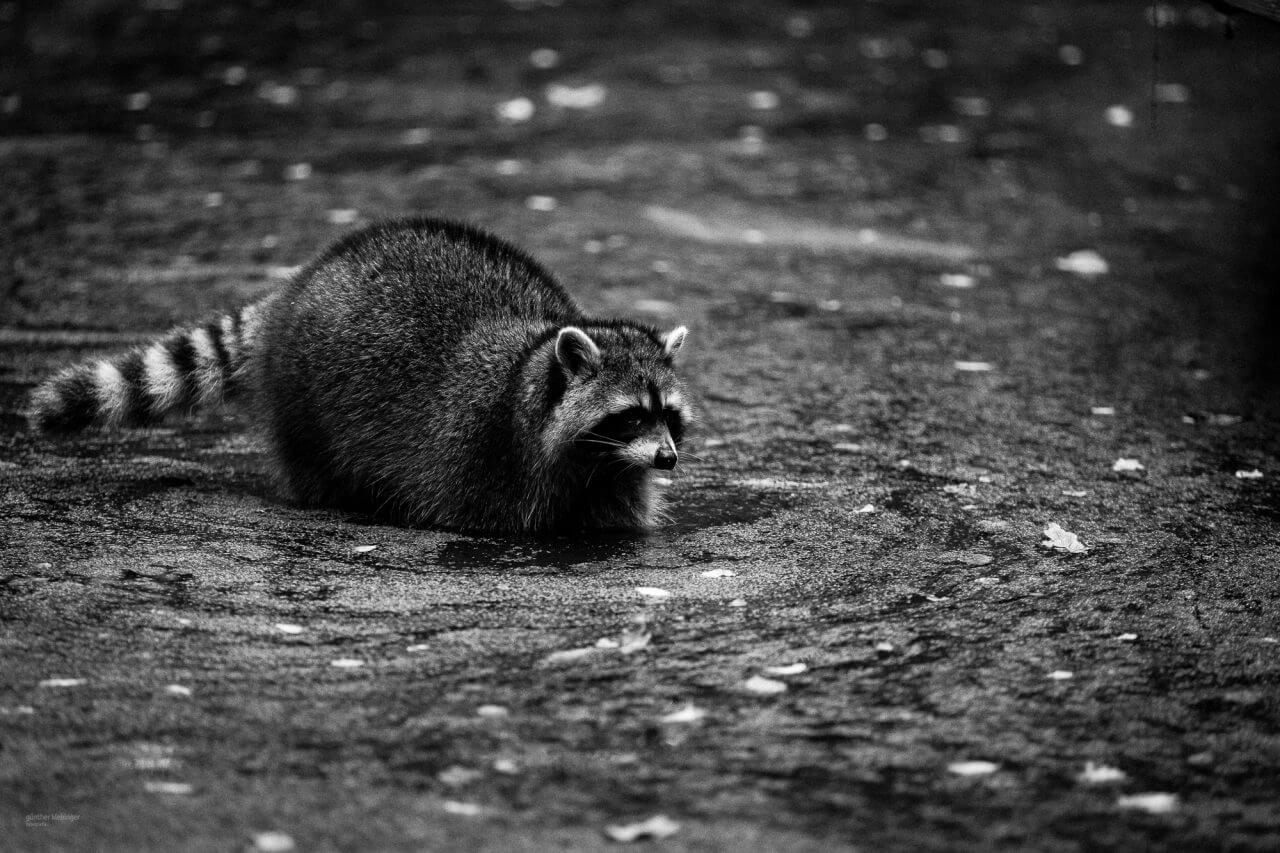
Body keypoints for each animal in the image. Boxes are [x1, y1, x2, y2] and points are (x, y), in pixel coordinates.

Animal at [27, 216, 691, 527]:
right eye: (630, 416)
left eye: (667, 416)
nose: (667, 458)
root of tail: (298, 286)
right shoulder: (486, 459)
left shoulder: (610, 479)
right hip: (304, 402)